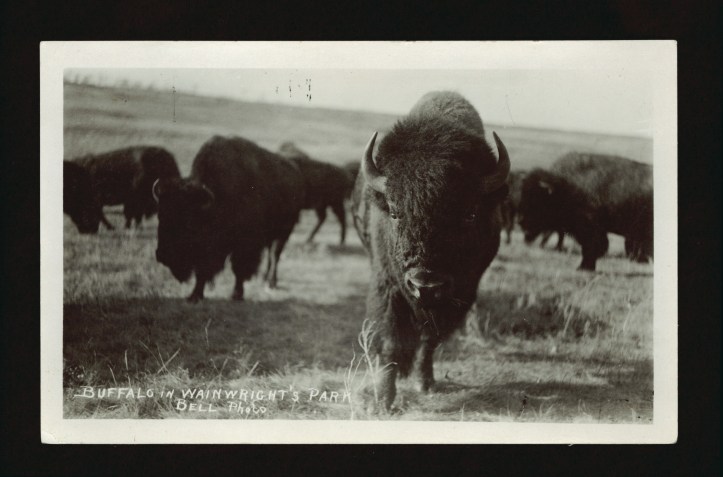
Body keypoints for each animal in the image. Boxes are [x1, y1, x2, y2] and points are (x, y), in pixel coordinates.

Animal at [153, 136, 304, 302]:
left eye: (189, 222)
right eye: (160, 215)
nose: (162, 255)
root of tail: (294, 171)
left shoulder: (245, 245)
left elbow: (239, 269)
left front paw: (236, 294)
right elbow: (202, 271)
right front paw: (195, 295)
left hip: (284, 232)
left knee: (274, 255)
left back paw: (271, 282)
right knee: (271, 256)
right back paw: (264, 279)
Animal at [352, 91, 510, 409]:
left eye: (470, 214)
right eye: (395, 212)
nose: (425, 284)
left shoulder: (460, 295)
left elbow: (430, 339)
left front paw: (424, 383)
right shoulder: (388, 286)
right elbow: (391, 341)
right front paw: (383, 400)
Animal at [518, 152, 653, 270]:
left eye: (537, 200)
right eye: (523, 196)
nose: (522, 223)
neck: (565, 187)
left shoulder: (590, 229)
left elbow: (592, 247)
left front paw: (584, 267)